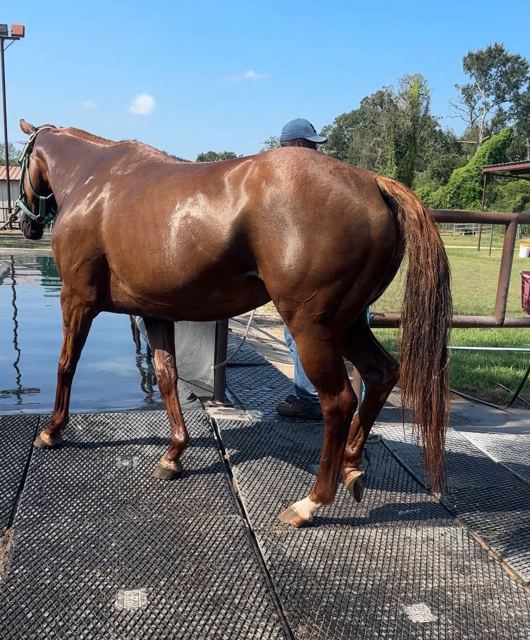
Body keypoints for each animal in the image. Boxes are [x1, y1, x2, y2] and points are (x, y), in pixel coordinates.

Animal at [17, 119, 451, 528]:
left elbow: (66, 364)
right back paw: (351, 466)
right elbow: (166, 376)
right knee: (380, 373)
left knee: (339, 401)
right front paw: (173, 454)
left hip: (311, 326)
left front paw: (51, 431)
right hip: (346, 323)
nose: (24, 224)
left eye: (22, 159)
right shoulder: (155, 312)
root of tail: (372, 182)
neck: (94, 179)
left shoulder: (76, 299)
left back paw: (310, 503)